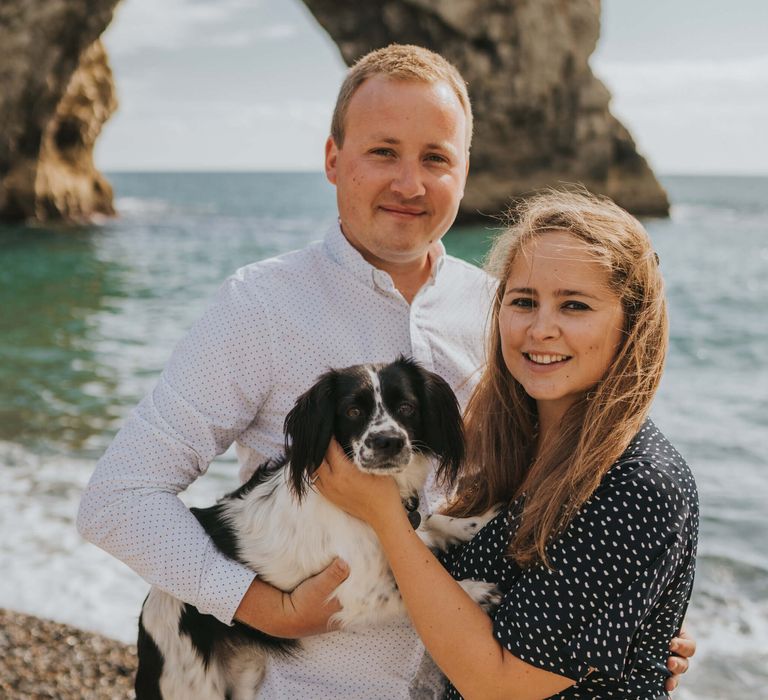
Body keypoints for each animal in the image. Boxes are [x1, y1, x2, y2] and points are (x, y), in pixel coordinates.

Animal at [136, 358, 500, 700]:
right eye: (353, 411)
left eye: (407, 407)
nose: (389, 441)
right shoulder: (353, 591)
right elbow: (409, 594)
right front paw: (474, 591)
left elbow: (429, 521)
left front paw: (474, 523)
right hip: (194, 685)